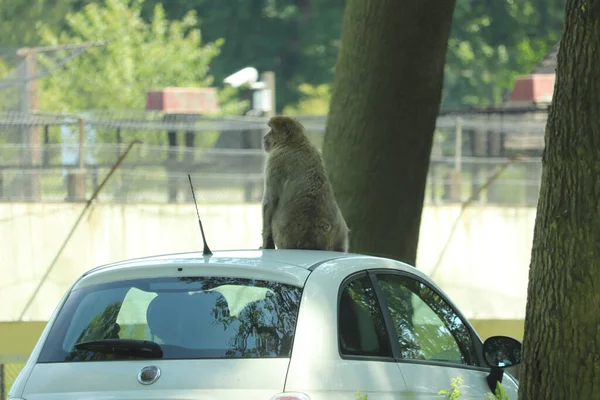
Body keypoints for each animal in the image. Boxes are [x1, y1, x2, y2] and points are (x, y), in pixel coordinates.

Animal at [260, 115, 350, 252]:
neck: (294, 143)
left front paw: (266, 244)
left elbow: (269, 202)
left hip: (283, 237)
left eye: (271, 131)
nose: (265, 137)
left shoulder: (274, 160)